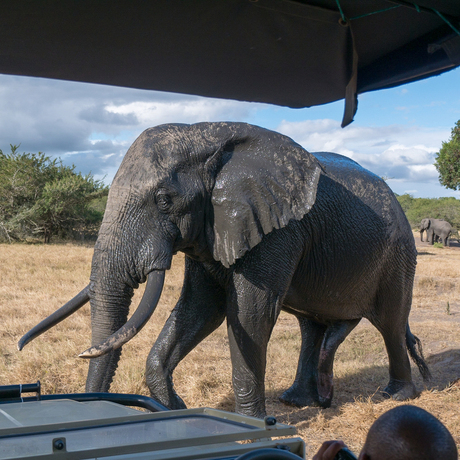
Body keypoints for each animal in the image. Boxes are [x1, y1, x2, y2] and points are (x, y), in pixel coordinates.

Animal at [17, 121, 428, 416]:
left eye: (164, 200)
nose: (19, 345)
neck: (205, 135)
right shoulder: (214, 229)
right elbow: (200, 308)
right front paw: (177, 408)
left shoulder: (277, 229)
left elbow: (250, 313)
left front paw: (253, 423)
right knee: (312, 326)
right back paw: (298, 401)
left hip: (398, 255)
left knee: (391, 321)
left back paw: (395, 396)